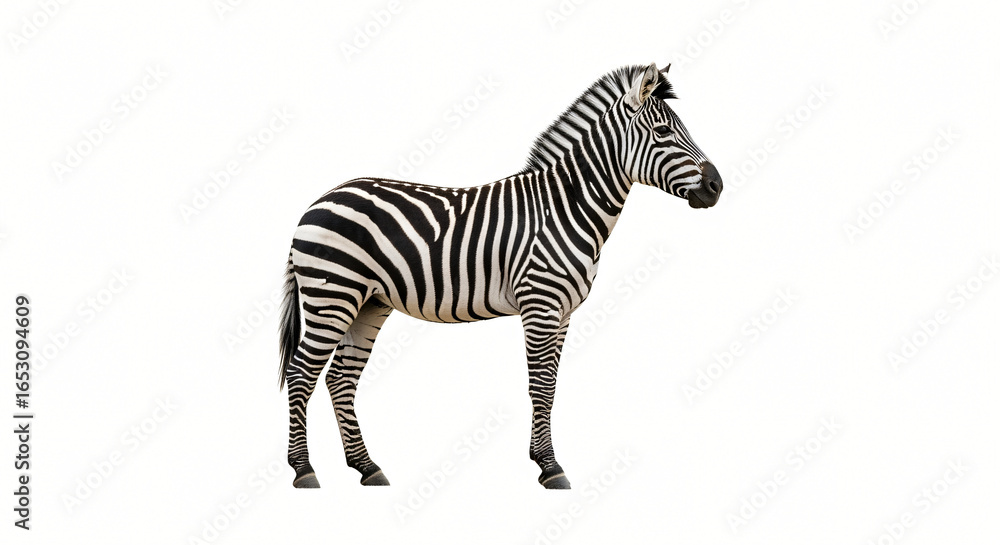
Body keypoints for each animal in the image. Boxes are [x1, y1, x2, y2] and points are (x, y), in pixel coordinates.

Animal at [278, 62, 722, 489]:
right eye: (663, 131)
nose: (717, 185)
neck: (567, 207)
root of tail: (318, 200)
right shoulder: (541, 303)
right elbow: (540, 384)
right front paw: (550, 467)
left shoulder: (564, 313)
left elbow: (551, 385)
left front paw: (541, 459)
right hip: (332, 297)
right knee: (301, 374)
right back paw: (304, 471)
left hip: (368, 303)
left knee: (340, 378)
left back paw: (367, 468)